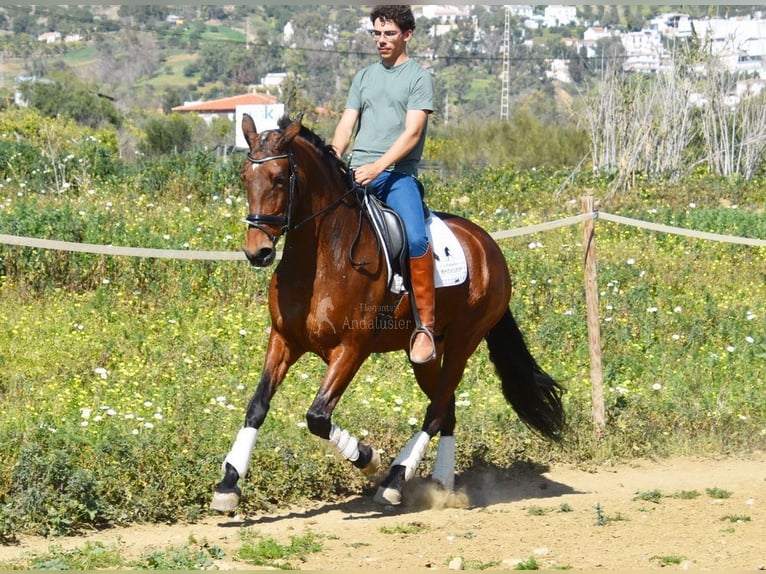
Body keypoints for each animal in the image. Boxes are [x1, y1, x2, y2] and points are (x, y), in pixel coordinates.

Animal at [210, 116, 564, 512]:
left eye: (278, 178)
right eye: (244, 176)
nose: (257, 252)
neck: (321, 257)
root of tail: (488, 244)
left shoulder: (352, 348)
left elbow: (318, 417)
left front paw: (367, 457)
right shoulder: (284, 339)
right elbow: (257, 405)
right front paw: (229, 483)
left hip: (463, 341)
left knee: (437, 409)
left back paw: (395, 479)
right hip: (427, 353)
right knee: (446, 405)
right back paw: (441, 484)